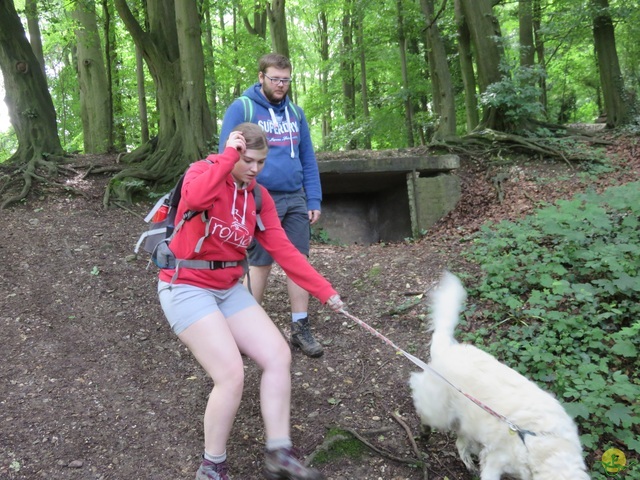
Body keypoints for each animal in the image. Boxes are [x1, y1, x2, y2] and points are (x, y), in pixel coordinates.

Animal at [410, 272, 592, 478]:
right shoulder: (496, 459)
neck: (540, 442)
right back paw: (425, 432)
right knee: (423, 407)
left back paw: (469, 465)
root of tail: (447, 348)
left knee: (460, 443)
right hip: (438, 410)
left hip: (468, 423)